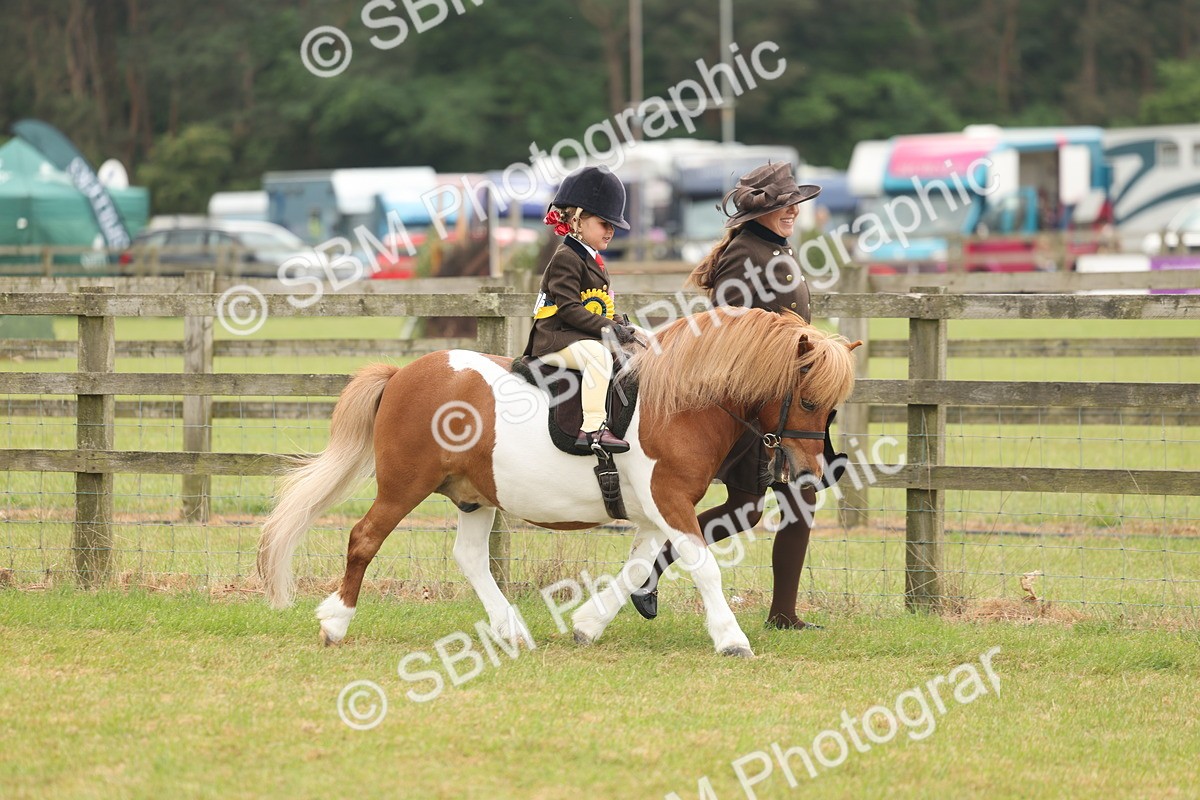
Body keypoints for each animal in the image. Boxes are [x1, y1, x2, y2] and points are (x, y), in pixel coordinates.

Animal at [257, 307, 859, 657]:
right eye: (808, 400)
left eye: (832, 406)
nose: (811, 475)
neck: (682, 401)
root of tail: (403, 373)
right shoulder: (669, 501)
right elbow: (704, 566)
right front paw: (732, 639)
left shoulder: (656, 511)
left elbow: (638, 567)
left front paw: (588, 624)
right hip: (404, 486)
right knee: (364, 539)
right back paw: (336, 624)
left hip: (475, 496)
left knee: (470, 558)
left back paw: (511, 632)